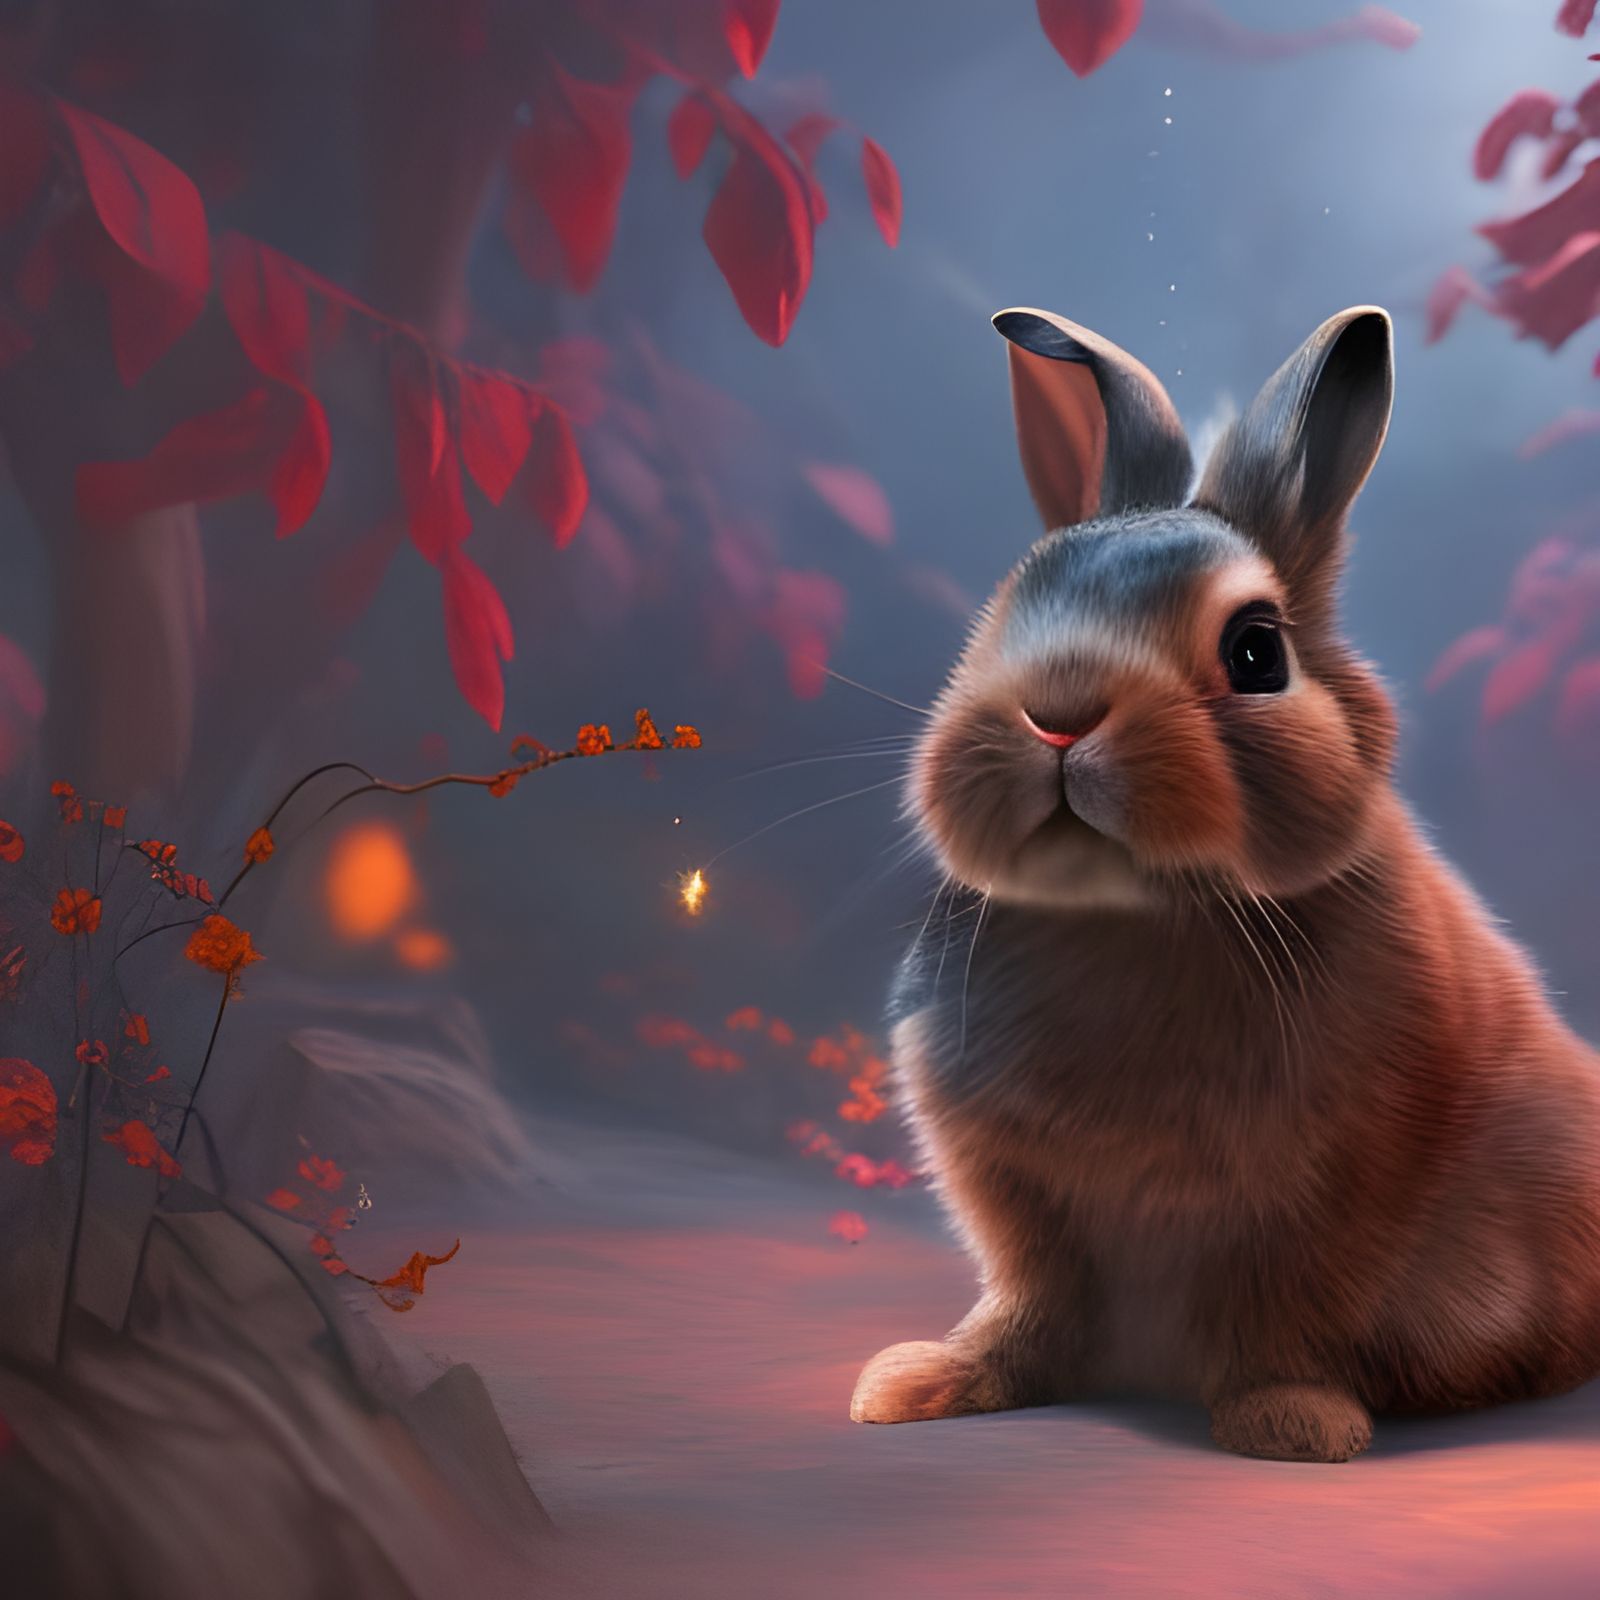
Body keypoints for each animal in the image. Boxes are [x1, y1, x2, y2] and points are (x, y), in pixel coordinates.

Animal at [848, 304, 1600, 1462]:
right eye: (1008, 611)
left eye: (1255, 653)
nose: (1058, 712)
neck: (1127, 917)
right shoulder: (1019, 1203)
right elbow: (1026, 1308)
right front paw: (918, 1384)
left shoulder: (1328, 1203)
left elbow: (1280, 1314)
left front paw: (1291, 1425)